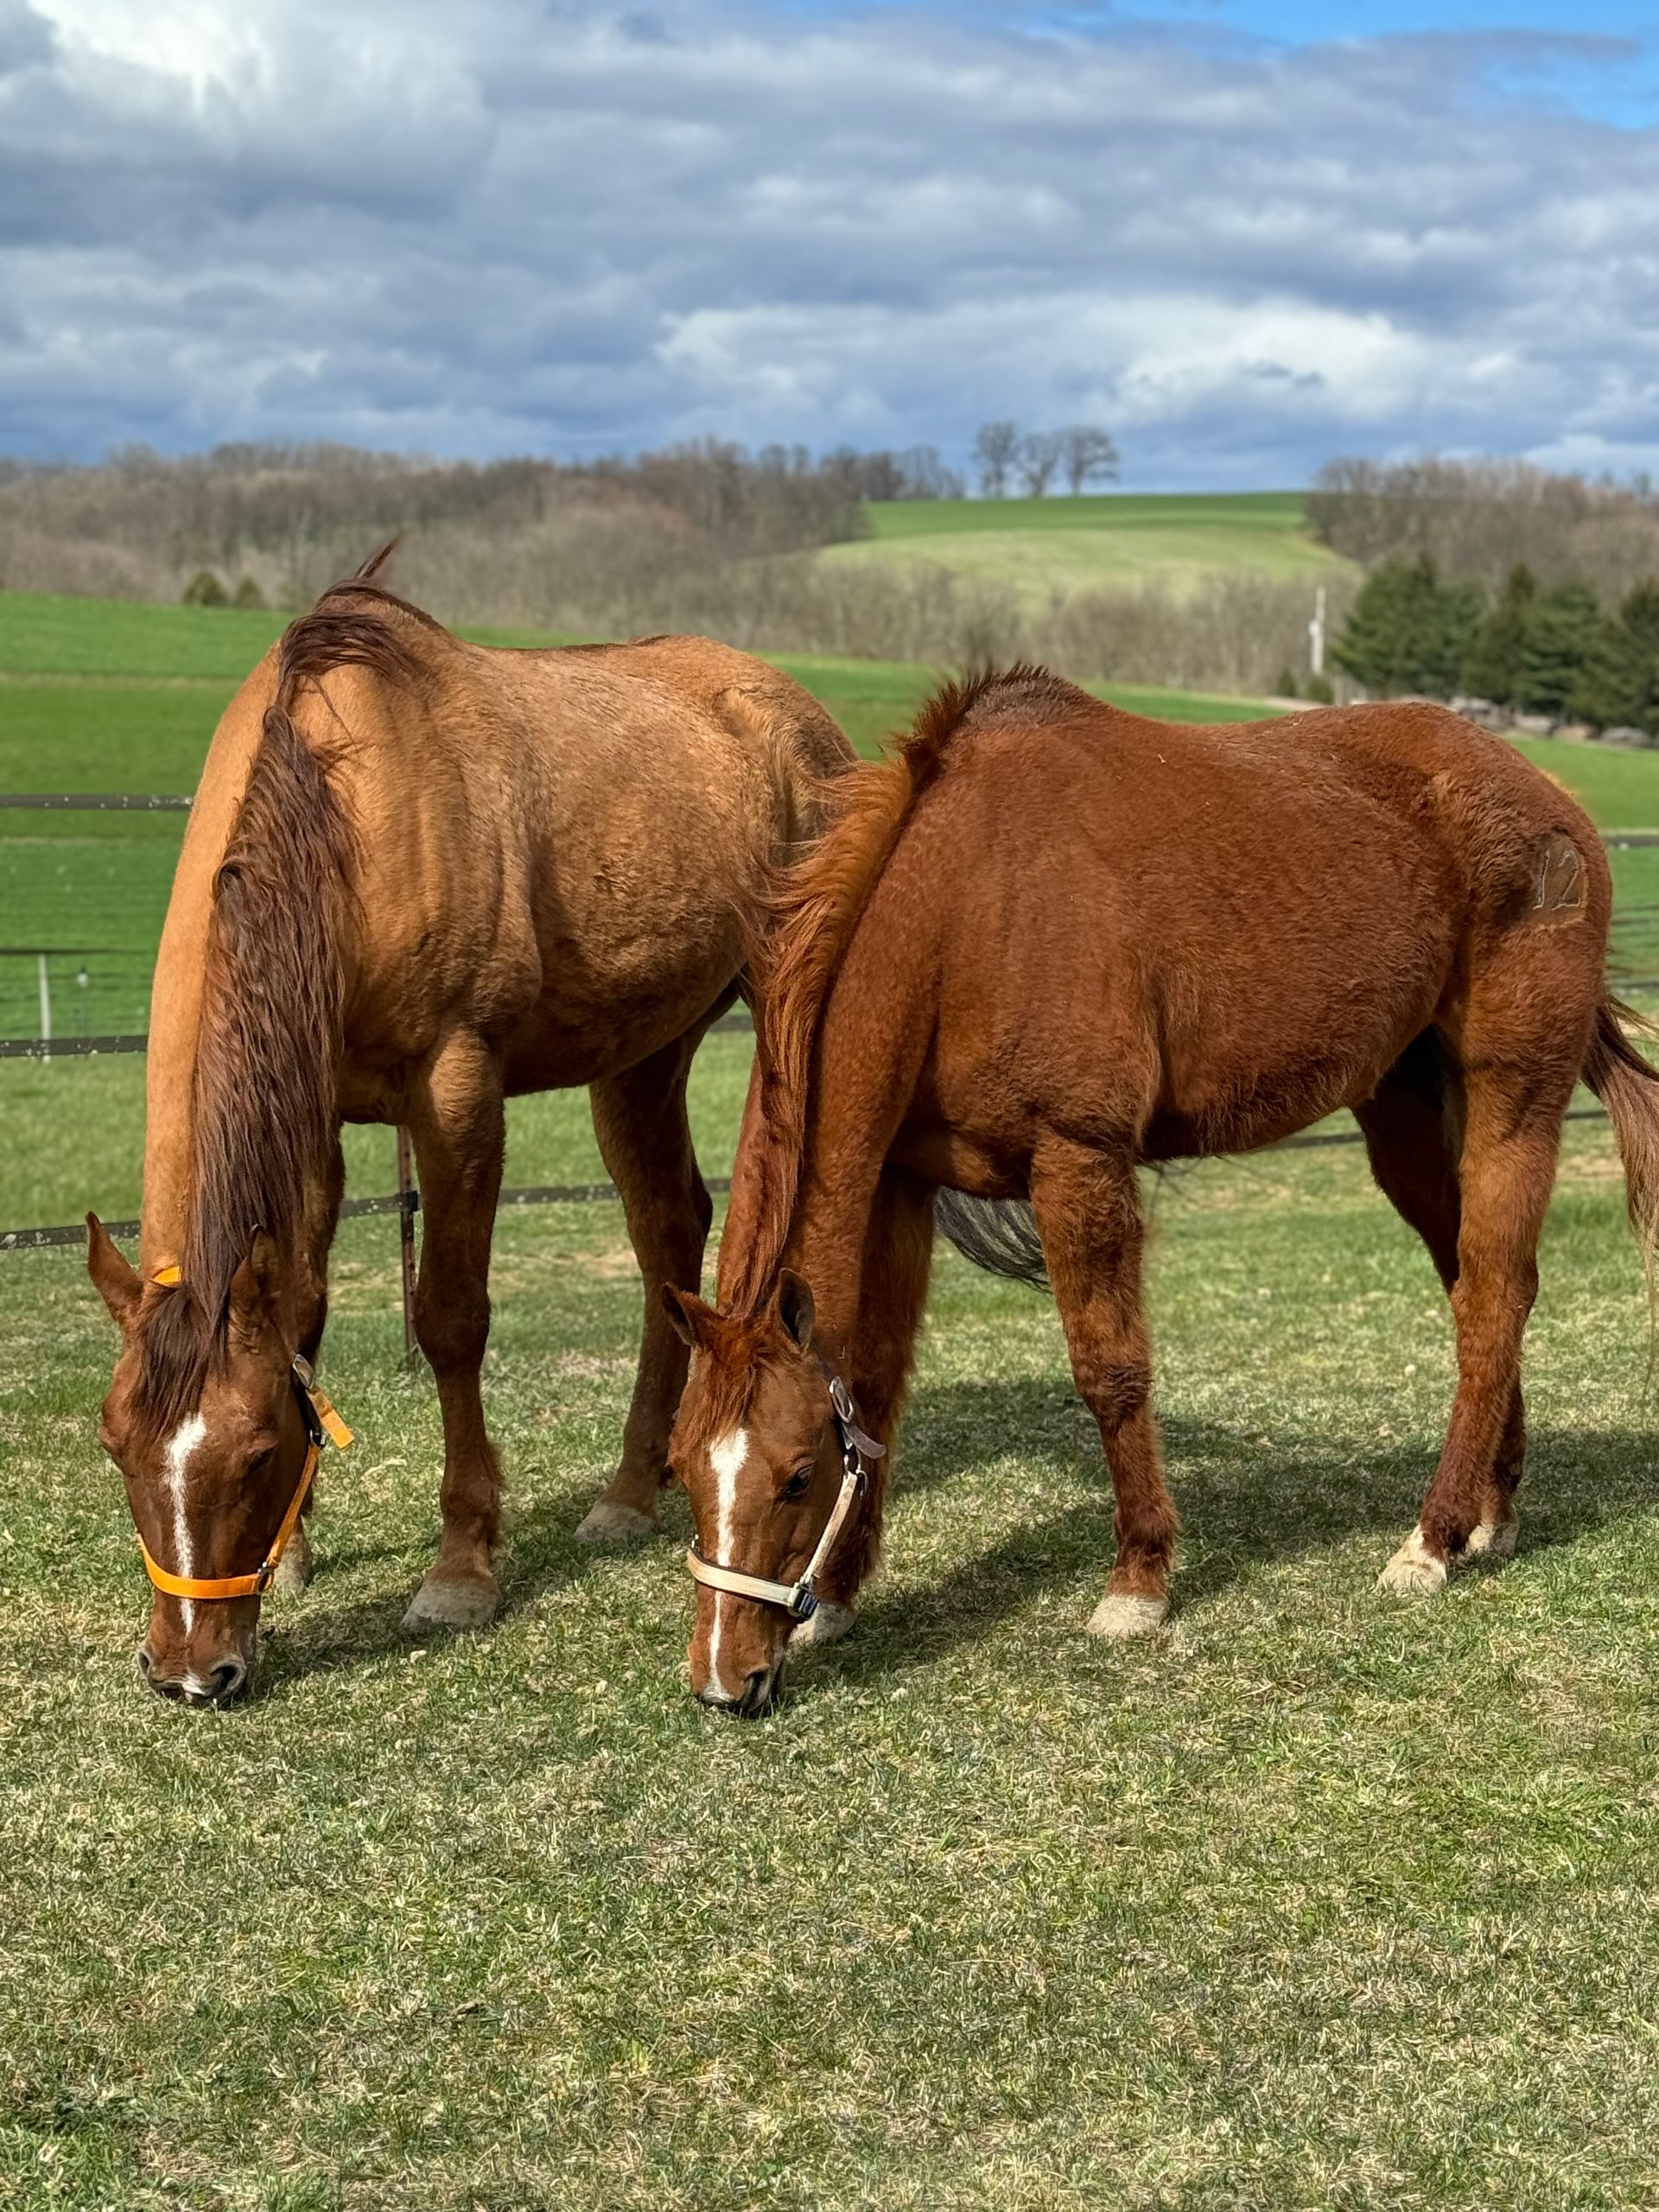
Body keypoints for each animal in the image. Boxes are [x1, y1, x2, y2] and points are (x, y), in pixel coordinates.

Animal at [86, 551, 853, 1703]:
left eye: (255, 1452)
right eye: (116, 1446)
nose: (187, 1671)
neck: (347, 810)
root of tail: (797, 713)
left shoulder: (455, 1092)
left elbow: (450, 1320)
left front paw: (460, 1569)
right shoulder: (317, 1113)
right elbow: (302, 1310)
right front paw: (299, 1551)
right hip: (643, 1053)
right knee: (667, 1229)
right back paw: (631, 1491)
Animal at [662, 665, 1659, 1715]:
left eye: (796, 1476)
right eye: (681, 1468)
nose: (725, 1681)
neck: (966, 905)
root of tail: (1552, 804)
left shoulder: (1077, 1159)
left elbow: (1111, 1372)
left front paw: (1137, 1582)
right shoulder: (901, 1180)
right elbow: (877, 1382)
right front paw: (848, 1594)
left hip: (1516, 1100)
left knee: (1495, 1295)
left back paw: (1431, 1539)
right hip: (1409, 1114)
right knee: (1480, 1294)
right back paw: (1488, 1513)